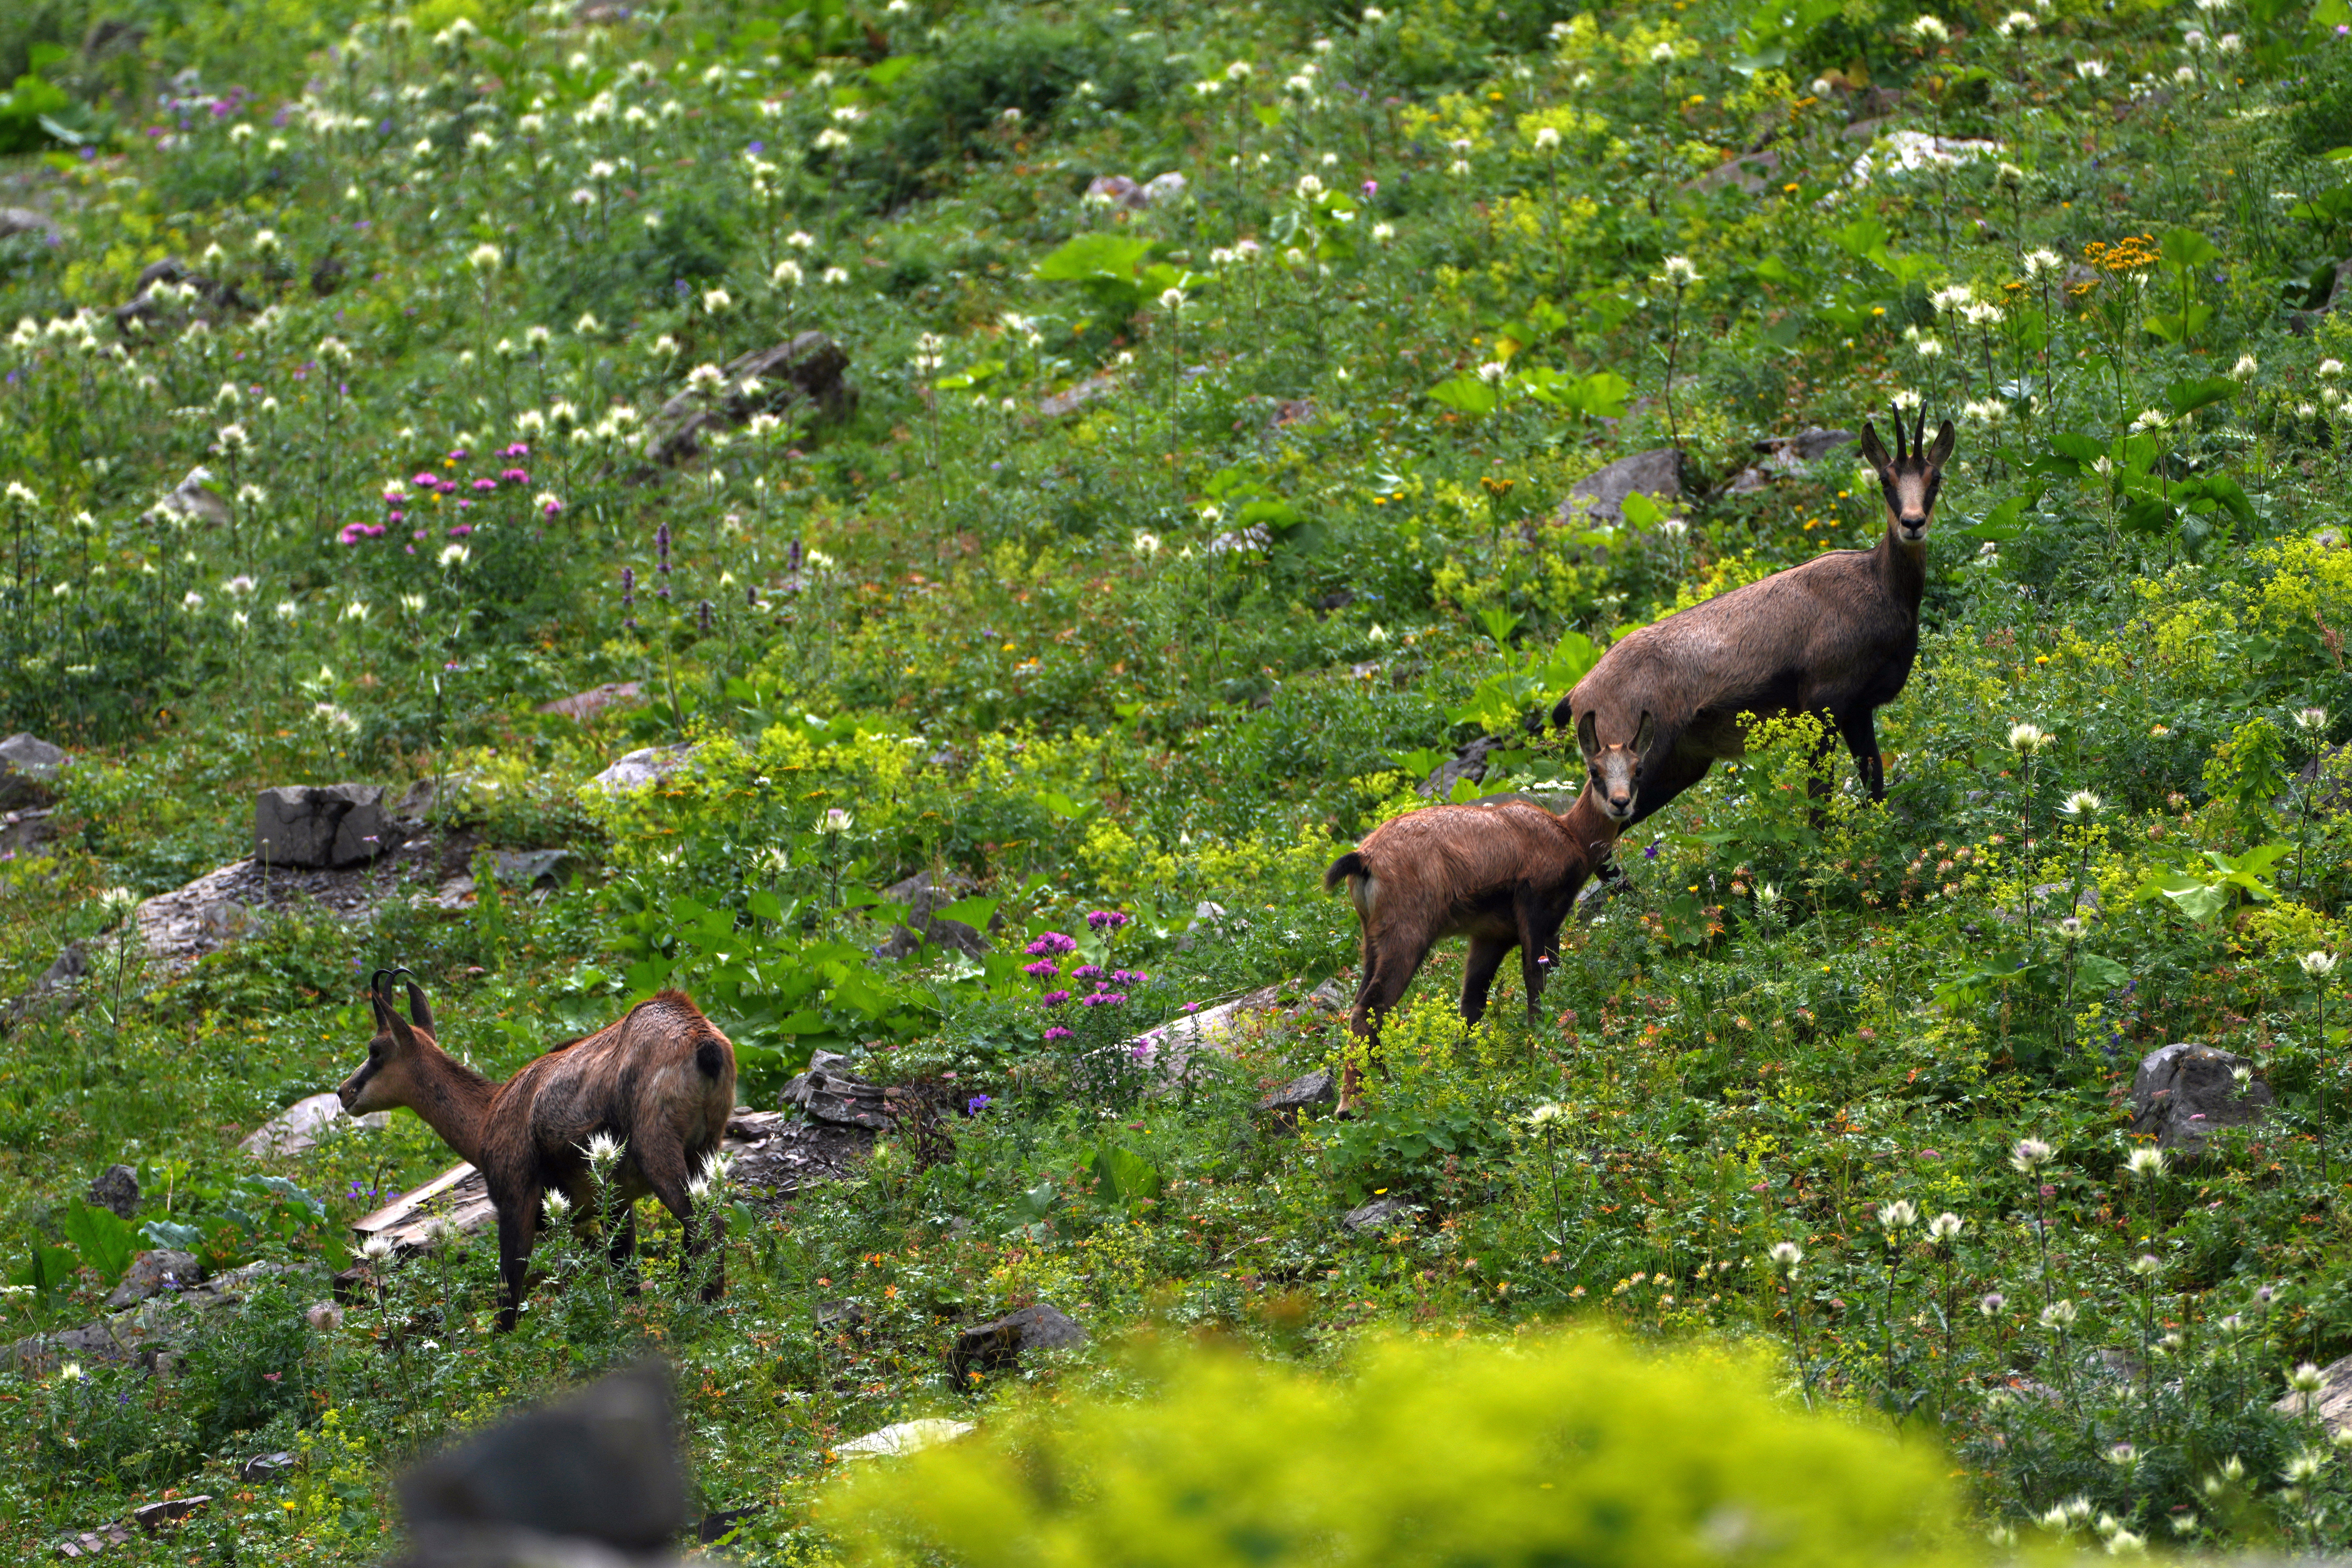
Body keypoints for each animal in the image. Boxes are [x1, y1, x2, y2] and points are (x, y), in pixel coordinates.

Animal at [339, 973, 734, 1335]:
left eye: (375, 1050)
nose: (344, 1092)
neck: (487, 1116)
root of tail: (703, 1043)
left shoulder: (515, 1196)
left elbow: (509, 1284)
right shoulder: (618, 1201)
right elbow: (625, 1274)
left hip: (657, 1146)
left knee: (709, 1224)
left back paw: (708, 1309)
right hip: (705, 1147)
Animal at [1326, 780, 1637, 1109]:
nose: (1621, 804)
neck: (1569, 834)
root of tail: (1364, 859)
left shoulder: (1491, 938)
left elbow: (1472, 1003)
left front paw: (1461, 1065)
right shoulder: (1538, 914)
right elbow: (1536, 982)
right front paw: (1540, 1041)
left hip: (1372, 940)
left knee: (1362, 1003)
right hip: (1406, 934)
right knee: (1370, 1007)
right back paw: (1360, 1099)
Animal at [1552, 404, 1957, 827]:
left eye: (1935, 477)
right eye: (1884, 479)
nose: (1913, 524)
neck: (1877, 584)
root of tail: (1579, 690)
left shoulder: (1859, 709)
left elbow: (1874, 783)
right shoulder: (1823, 704)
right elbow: (1819, 801)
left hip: (1678, 763)